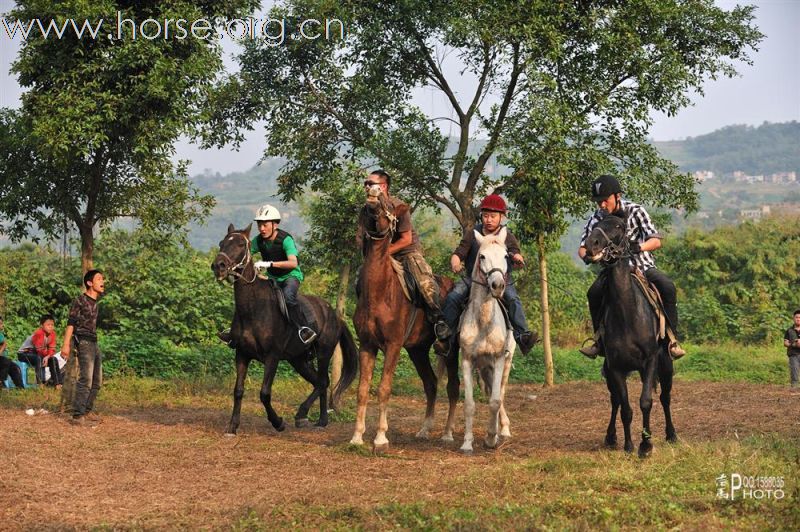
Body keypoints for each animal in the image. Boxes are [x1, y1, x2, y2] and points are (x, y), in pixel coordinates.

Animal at [216, 222, 360, 434]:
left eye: (241, 245)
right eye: (222, 243)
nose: (218, 266)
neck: (254, 308)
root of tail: (335, 316)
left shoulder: (272, 356)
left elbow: (264, 393)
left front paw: (278, 422)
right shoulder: (241, 353)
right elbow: (238, 391)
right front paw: (232, 426)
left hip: (324, 353)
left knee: (323, 381)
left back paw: (314, 417)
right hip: (298, 360)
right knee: (319, 381)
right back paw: (311, 418)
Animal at [348, 191, 460, 448]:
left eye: (387, 206)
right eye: (366, 207)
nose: (372, 197)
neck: (380, 292)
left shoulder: (393, 345)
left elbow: (384, 388)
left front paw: (380, 437)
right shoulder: (367, 345)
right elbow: (362, 389)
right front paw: (357, 436)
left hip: (451, 349)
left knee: (453, 387)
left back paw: (448, 433)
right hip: (418, 350)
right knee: (431, 384)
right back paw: (424, 429)